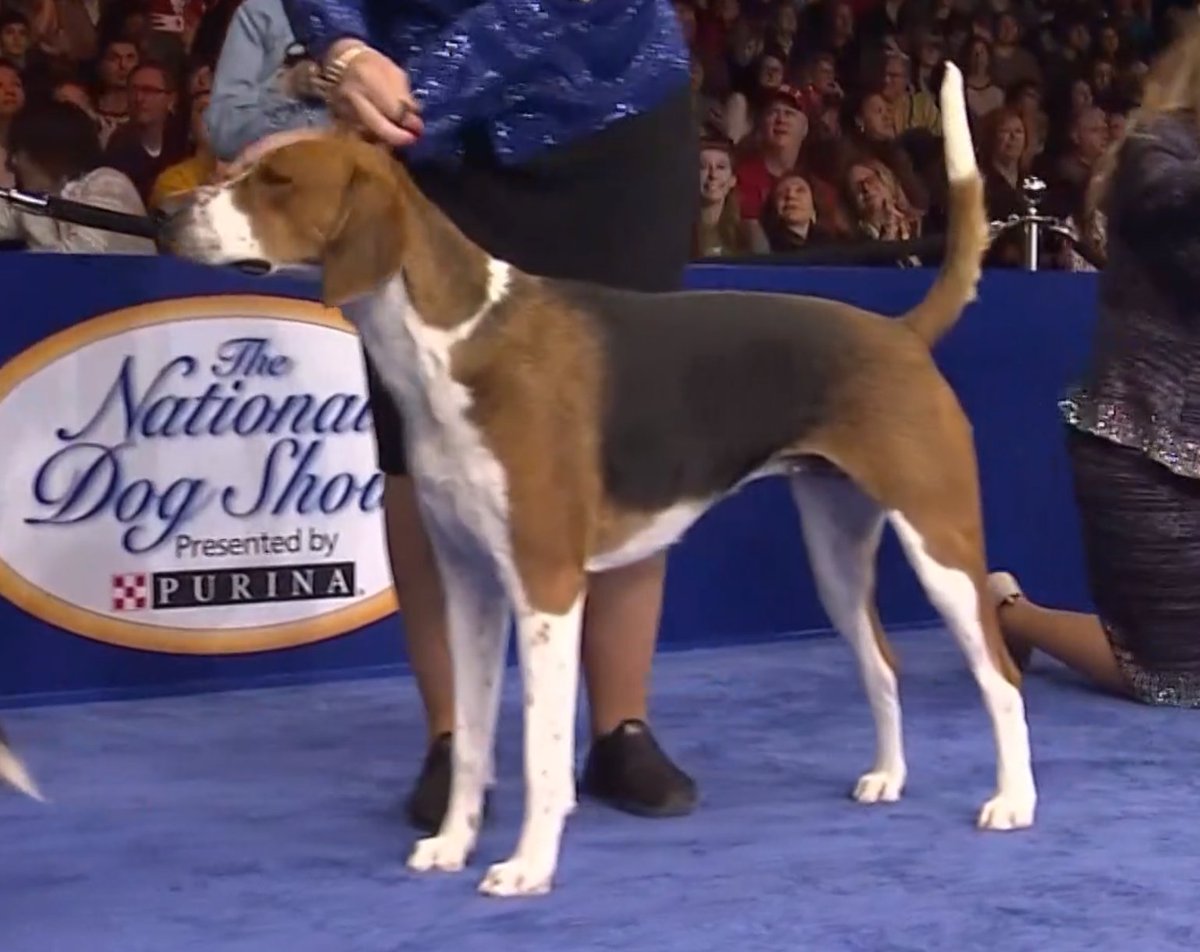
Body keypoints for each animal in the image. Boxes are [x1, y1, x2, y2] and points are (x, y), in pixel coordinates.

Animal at [0, 63, 1036, 893]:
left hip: (940, 542)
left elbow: (538, 750)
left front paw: (527, 867)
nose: (166, 214)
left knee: (1000, 676)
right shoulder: (467, 583)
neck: (445, 338)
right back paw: (889, 777)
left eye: (277, 181)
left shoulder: (545, 586)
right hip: (836, 547)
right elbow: (470, 745)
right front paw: (453, 845)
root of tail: (897, 331)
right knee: (884, 664)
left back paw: (1013, 801)